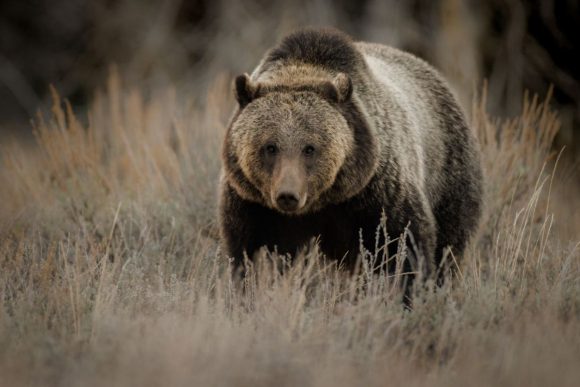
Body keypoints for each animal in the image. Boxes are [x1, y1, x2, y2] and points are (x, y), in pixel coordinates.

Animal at [220, 26, 482, 282]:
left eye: (310, 148)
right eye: (270, 146)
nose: (288, 195)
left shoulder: (376, 194)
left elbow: (404, 245)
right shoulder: (253, 206)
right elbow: (252, 255)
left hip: (448, 175)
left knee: (450, 243)